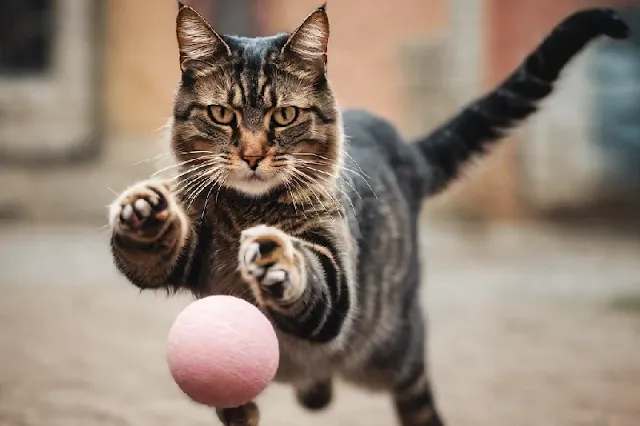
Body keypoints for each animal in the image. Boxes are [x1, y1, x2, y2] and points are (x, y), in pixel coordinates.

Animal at [110, 4, 632, 426]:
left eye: (284, 116)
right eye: (221, 115)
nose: (253, 156)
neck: (248, 209)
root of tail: (407, 149)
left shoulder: (337, 276)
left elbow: (313, 277)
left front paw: (278, 262)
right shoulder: (189, 250)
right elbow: (149, 255)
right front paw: (142, 212)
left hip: (395, 353)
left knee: (415, 401)